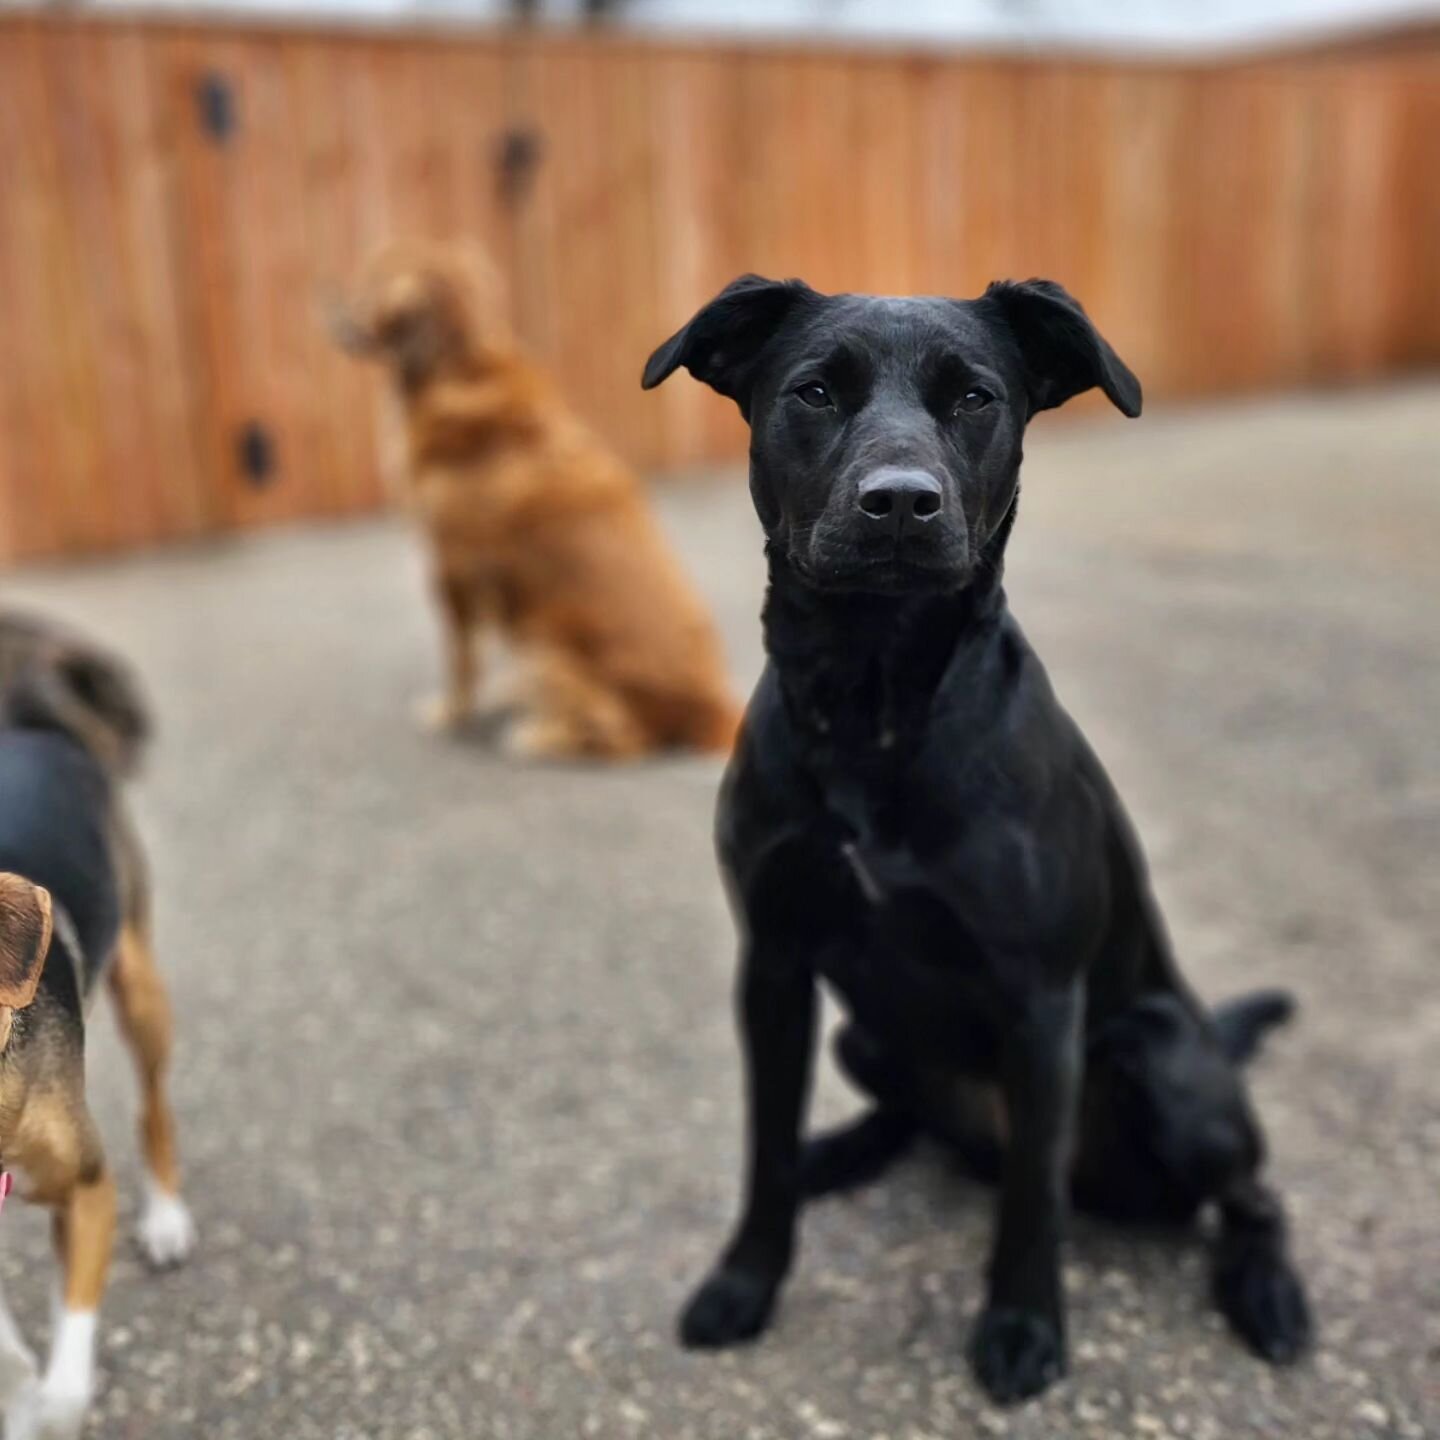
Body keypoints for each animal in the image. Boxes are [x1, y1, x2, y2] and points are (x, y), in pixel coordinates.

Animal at [329, 244, 737, 766]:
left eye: (372, 281)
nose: (328, 303)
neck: (459, 366)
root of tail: (712, 708)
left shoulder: (452, 568)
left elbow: (461, 659)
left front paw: (451, 713)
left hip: (539, 638)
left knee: (621, 740)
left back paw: (538, 736)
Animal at [648, 275, 1313, 1399]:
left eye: (975, 398)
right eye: (814, 391)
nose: (900, 502)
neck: (875, 709)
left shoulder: (1041, 1002)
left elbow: (1032, 1201)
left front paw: (1023, 1326)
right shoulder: (774, 967)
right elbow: (765, 1148)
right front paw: (746, 1281)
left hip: (1169, 1067)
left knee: (1249, 1198)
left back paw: (1268, 1293)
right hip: (864, 1032)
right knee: (911, 1118)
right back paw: (843, 1152)